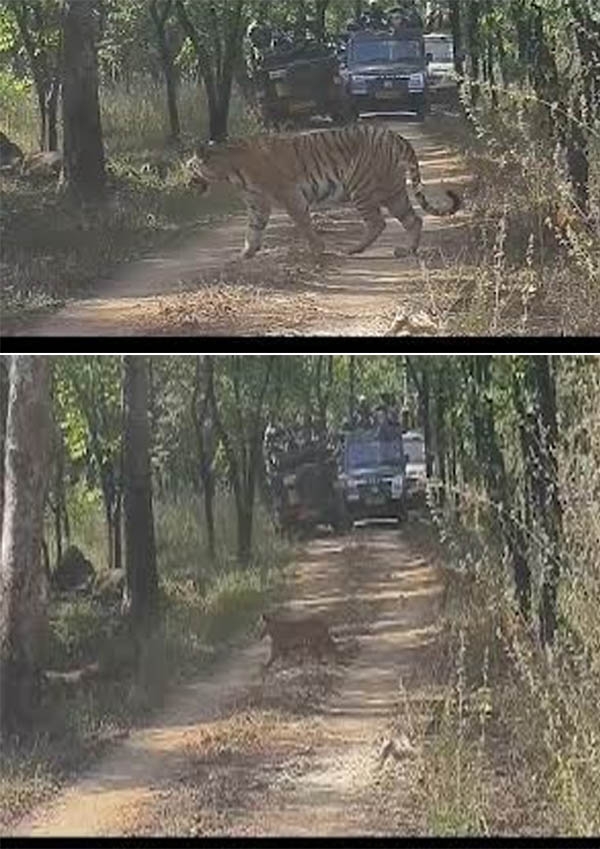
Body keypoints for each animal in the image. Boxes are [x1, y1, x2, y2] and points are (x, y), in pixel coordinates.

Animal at [186, 123, 460, 259]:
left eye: (189, 167)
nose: (186, 183)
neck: (229, 170)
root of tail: (395, 135)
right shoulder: (257, 204)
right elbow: (253, 230)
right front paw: (244, 254)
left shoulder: (289, 194)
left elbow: (303, 222)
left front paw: (317, 249)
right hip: (393, 191)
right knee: (413, 219)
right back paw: (406, 251)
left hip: (361, 187)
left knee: (377, 222)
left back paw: (352, 250)